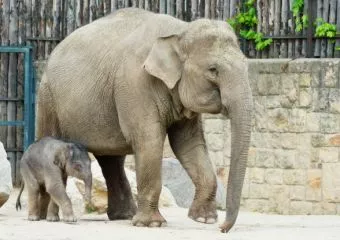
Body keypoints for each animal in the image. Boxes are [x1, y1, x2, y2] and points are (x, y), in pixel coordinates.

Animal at [37, 7, 254, 232]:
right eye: (213, 70)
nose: (223, 228)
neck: (180, 30)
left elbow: (188, 143)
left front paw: (204, 219)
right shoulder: (135, 83)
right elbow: (149, 141)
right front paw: (152, 224)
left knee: (112, 159)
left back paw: (123, 215)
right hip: (47, 98)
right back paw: (44, 217)